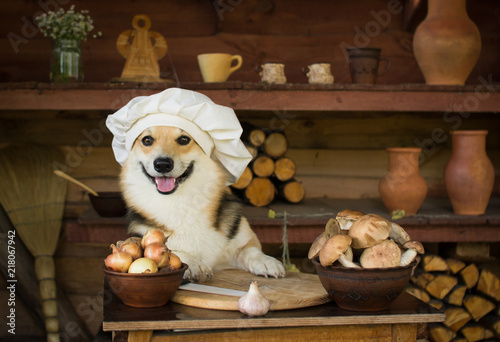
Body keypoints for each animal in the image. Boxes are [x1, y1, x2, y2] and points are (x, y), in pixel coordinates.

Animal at [119, 127, 288, 282]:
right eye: (147, 140)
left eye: (184, 139)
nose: (162, 165)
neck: (182, 204)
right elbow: (175, 252)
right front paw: (195, 264)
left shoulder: (243, 241)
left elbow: (251, 251)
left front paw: (266, 261)